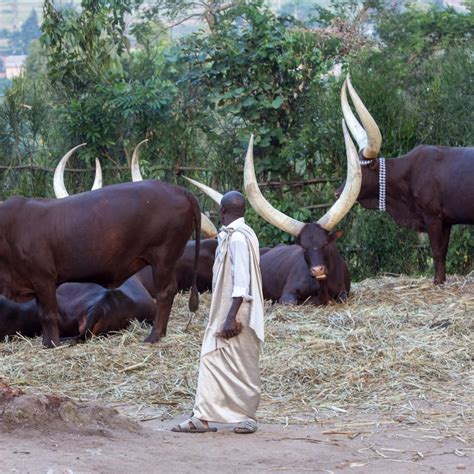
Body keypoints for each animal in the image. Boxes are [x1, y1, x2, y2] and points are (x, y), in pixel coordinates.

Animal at [340, 76, 474, 284]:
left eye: (361, 169)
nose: (337, 192)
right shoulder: (446, 221)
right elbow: (443, 251)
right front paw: (442, 279)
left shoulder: (433, 216)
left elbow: (437, 251)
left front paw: (437, 281)